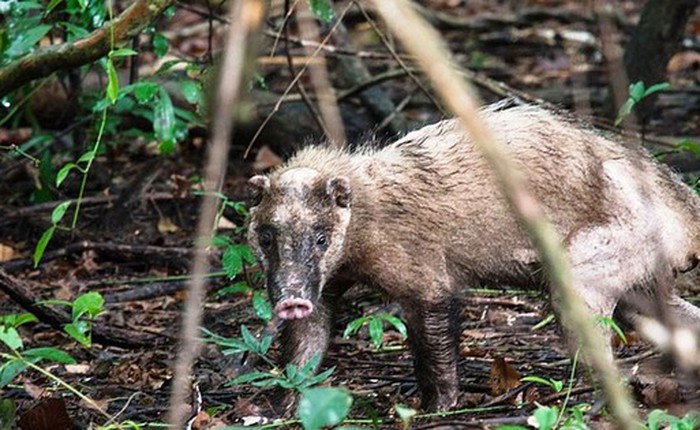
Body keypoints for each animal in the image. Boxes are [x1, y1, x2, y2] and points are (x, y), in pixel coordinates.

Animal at [245, 102, 700, 412]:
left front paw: (437, 407)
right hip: (639, 276)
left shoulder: (425, 273)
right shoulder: (323, 286)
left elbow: (435, 344)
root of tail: (685, 212)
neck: (366, 211)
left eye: (322, 238)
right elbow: (307, 343)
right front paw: (285, 407)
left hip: (593, 260)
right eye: (266, 235)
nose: (290, 299)